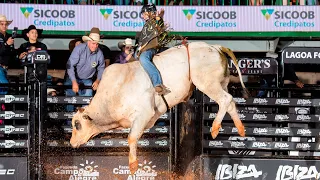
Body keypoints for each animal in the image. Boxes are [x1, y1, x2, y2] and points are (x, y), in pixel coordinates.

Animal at [70, 41, 248, 174]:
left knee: (225, 99)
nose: (71, 143)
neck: (114, 93)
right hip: (221, 83)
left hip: (207, 83)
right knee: (231, 103)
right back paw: (240, 130)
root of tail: (216, 47)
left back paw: (215, 128)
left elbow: (132, 137)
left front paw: (133, 166)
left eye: (77, 124)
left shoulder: (143, 114)